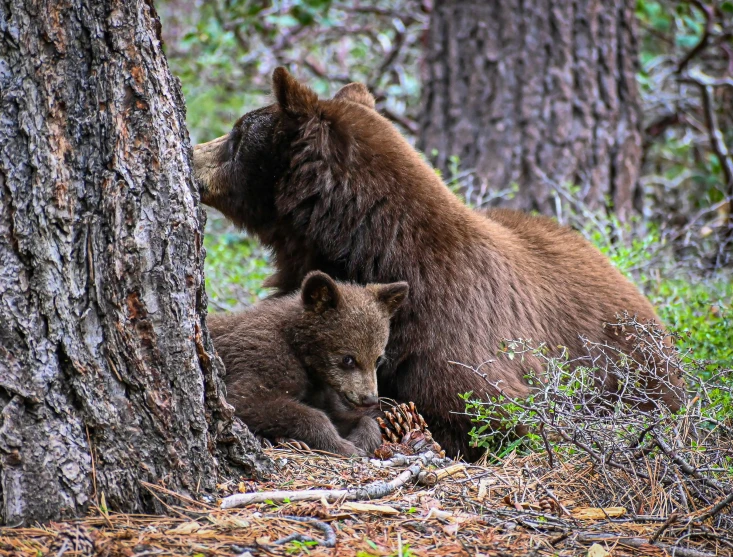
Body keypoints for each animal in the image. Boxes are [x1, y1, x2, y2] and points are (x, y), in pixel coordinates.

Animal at [192, 67, 684, 458]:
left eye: (237, 134)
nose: (193, 154)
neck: (375, 249)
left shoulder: (455, 331)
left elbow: (493, 411)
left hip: (636, 369)